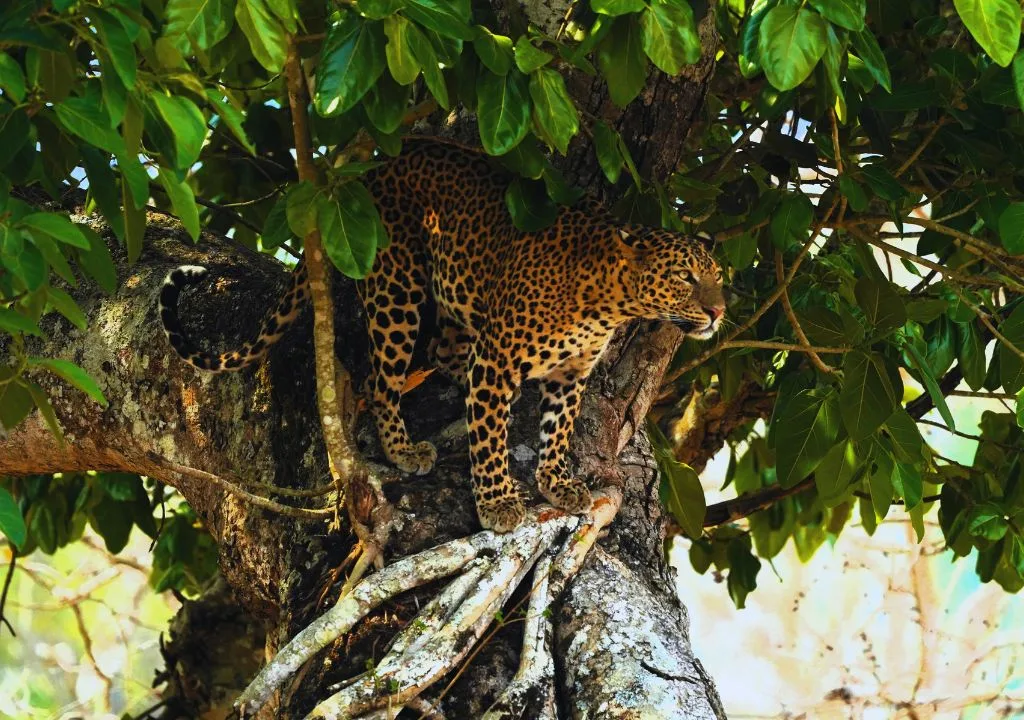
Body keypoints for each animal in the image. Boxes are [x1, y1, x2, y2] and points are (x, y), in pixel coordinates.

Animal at [160, 139, 726, 533]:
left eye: (718, 276)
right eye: (684, 277)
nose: (719, 311)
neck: (608, 301)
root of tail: (374, 169)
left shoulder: (570, 373)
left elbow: (558, 430)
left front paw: (558, 484)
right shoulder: (499, 360)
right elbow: (491, 437)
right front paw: (498, 502)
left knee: (442, 349)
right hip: (397, 292)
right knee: (381, 380)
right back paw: (402, 449)